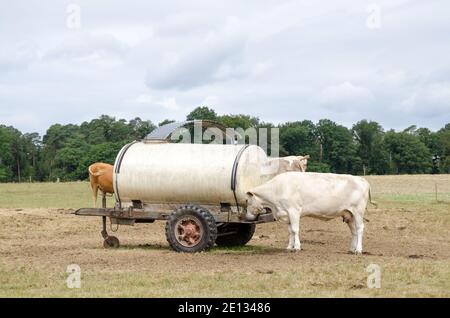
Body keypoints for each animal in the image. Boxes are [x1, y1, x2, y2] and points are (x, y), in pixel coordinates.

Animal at [246, 171, 376, 253]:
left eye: (247, 201)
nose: (247, 217)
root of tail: (362, 179)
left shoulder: (294, 210)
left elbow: (295, 230)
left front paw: (297, 247)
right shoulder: (286, 214)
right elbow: (290, 231)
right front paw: (289, 247)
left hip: (358, 211)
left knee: (359, 229)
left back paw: (358, 250)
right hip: (349, 214)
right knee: (354, 231)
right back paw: (352, 249)